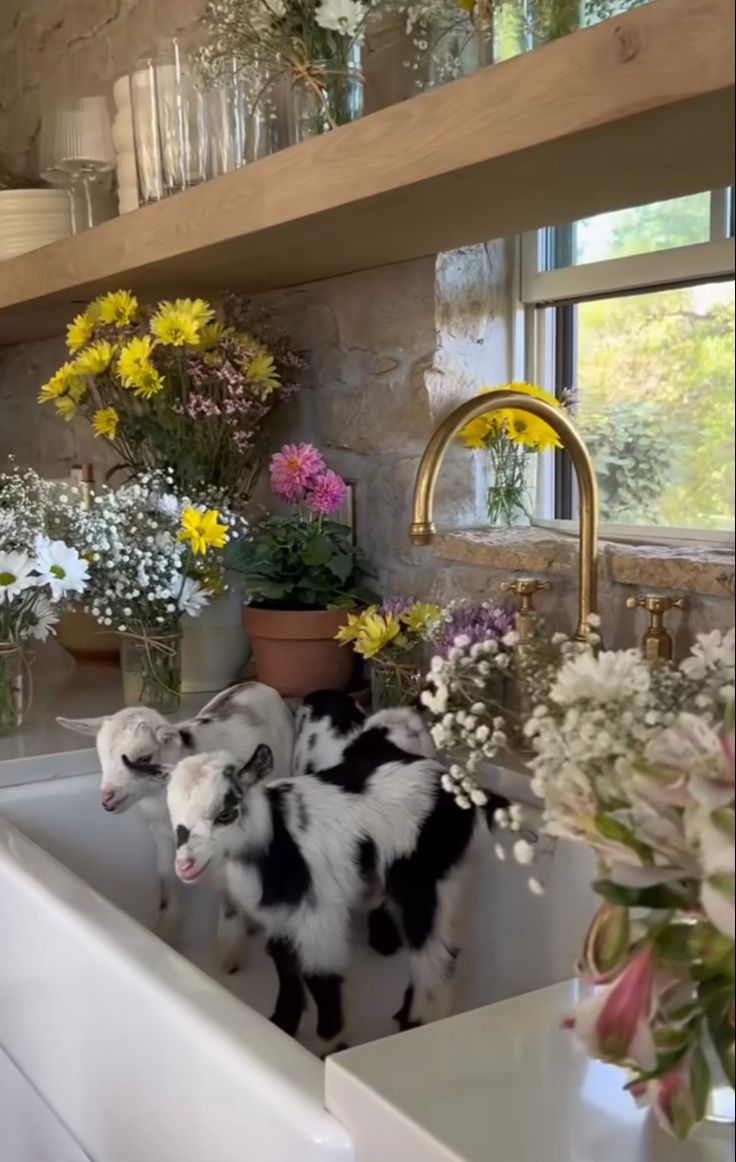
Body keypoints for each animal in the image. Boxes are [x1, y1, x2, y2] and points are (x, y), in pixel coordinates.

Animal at [58, 678, 293, 962]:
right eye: (101, 756)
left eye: (144, 758)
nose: (107, 798)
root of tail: (256, 683)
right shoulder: (163, 837)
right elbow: (166, 879)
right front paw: (164, 934)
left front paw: (229, 954)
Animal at [165, 706, 504, 1055]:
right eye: (174, 817)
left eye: (226, 814)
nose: (184, 865)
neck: (276, 840)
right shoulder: (283, 920)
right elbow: (285, 965)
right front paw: (282, 1024)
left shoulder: (319, 919)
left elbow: (321, 979)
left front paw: (331, 1042)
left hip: (430, 884)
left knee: (435, 956)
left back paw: (416, 1023)